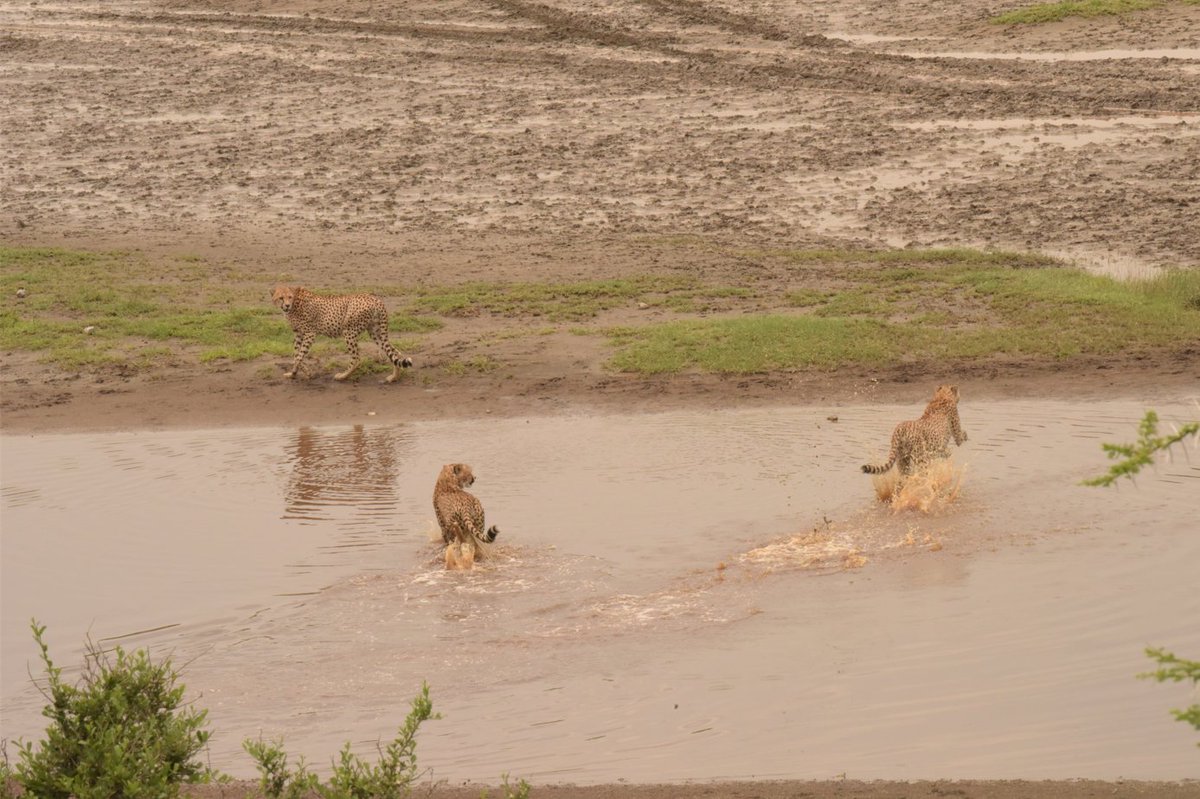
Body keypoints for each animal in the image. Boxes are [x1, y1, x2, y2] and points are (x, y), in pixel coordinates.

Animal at [271, 283, 412, 383]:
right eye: (281, 298)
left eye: (289, 297)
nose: (287, 305)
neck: (295, 302)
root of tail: (375, 299)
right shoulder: (299, 334)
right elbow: (296, 355)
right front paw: (294, 373)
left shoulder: (310, 333)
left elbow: (299, 357)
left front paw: (304, 373)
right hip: (376, 332)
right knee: (395, 353)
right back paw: (393, 377)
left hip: (349, 331)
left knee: (356, 359)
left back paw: (342, 376)